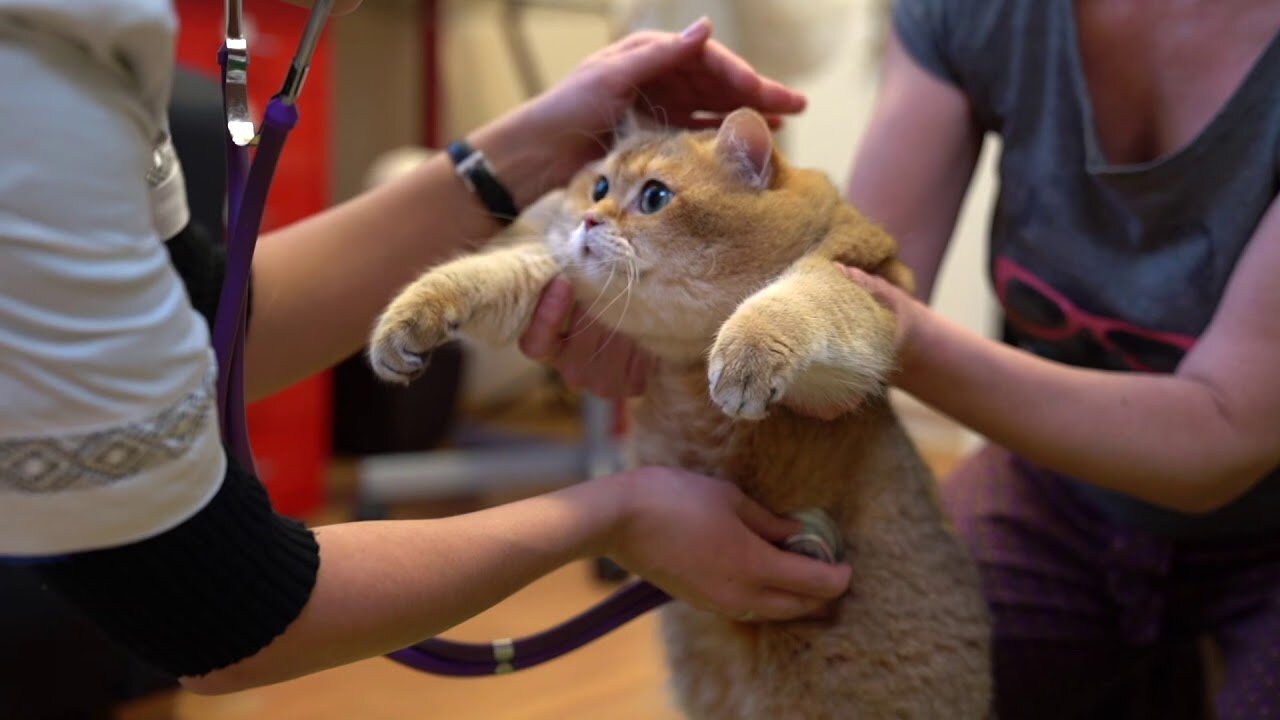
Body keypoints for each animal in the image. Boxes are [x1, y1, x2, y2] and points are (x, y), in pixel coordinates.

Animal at [371, 107, 988, 717]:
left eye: (655, 197)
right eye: (599, 186)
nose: (589, 220)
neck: (687, 352)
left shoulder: (858, 296)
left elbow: (798, 296)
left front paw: (745, 354)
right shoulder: (557, 275)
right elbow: (491, 271)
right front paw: (406, 324)